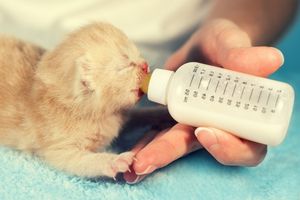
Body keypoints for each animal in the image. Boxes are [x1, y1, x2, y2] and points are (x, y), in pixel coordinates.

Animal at [0, 23, 149, 178]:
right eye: (126, 64)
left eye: (137, 54)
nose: (145, 65)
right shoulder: (59, 148)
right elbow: (84, 161)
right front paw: (114, 160)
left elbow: (140, 115)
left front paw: (156, 113)